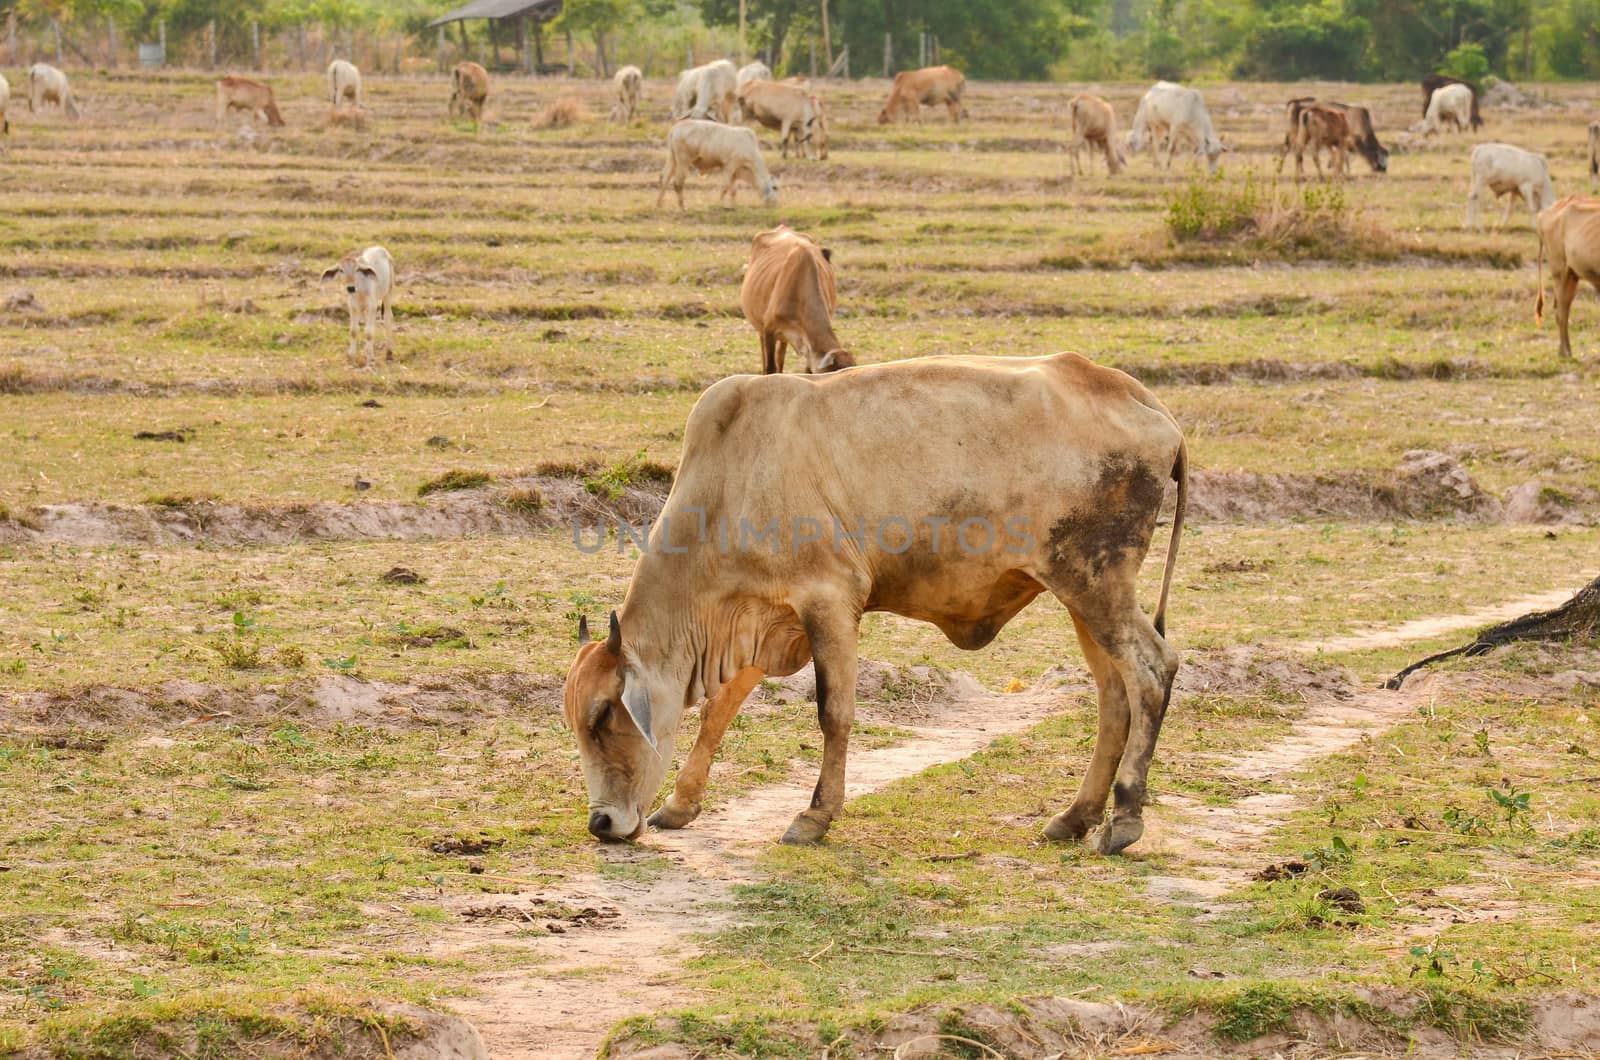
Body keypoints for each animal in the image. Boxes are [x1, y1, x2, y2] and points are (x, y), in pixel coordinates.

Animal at [563, 355, 1190, 858]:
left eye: (603, 716)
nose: (601, 823)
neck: (729, 486)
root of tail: (1131, 391)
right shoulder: (765, 621)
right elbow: (720, 710)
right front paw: (680, 805)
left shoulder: (830, 600)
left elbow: (834, 712)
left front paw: (814, 817)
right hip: (1082, 595)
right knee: (1113, 696)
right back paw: (1074, 818)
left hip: (1095, 582)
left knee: (1152, 670)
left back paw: (1123, 819)